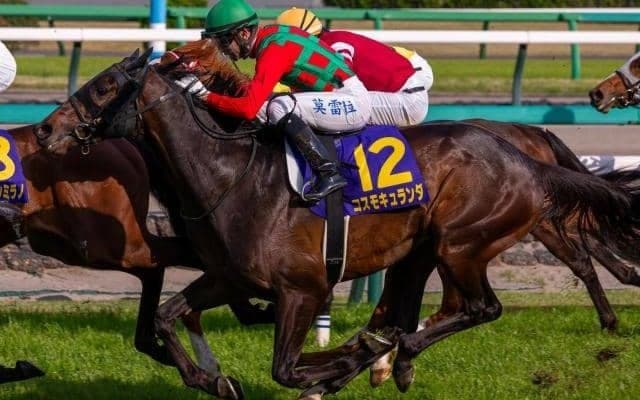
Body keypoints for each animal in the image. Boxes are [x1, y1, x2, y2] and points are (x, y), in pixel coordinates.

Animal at [36, 43, 640, 399]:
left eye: (106, 87)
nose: (44, 130)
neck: (229, 174)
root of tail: (525, 156)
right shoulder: (230, 277)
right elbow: (166, 315)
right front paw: (212, 378)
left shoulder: (302, 288)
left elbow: (286, 367)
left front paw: (336, 362)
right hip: (423, 252)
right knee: (410, 313)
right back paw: (384, 358)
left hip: (462, 243)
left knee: (477, 309)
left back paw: (390, 358)